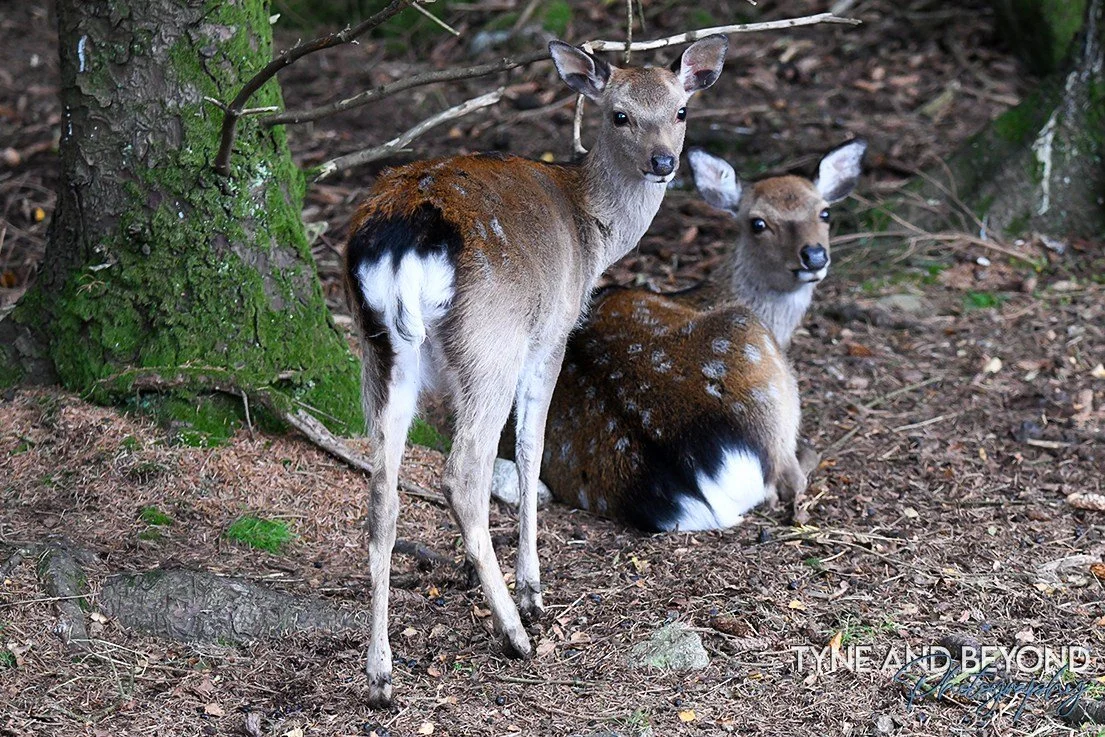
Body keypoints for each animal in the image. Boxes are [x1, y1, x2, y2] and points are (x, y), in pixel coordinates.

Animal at [344, 36, 729, 706]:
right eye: (619, 114)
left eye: (681, 110)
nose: (663, 161)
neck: (593, 234)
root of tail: (403, 239)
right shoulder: (551, 335)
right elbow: (531, 448)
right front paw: (532, 589)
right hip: (490, 341)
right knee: (463, 472)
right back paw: (516, 632)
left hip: (383, 352)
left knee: (382, 489)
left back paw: (381, 674)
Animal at [532, 139, 866, 532]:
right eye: (758, 223)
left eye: (824, 213)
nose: (813, 256)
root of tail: (695, 485)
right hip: (753, 343)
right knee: (785, 476)